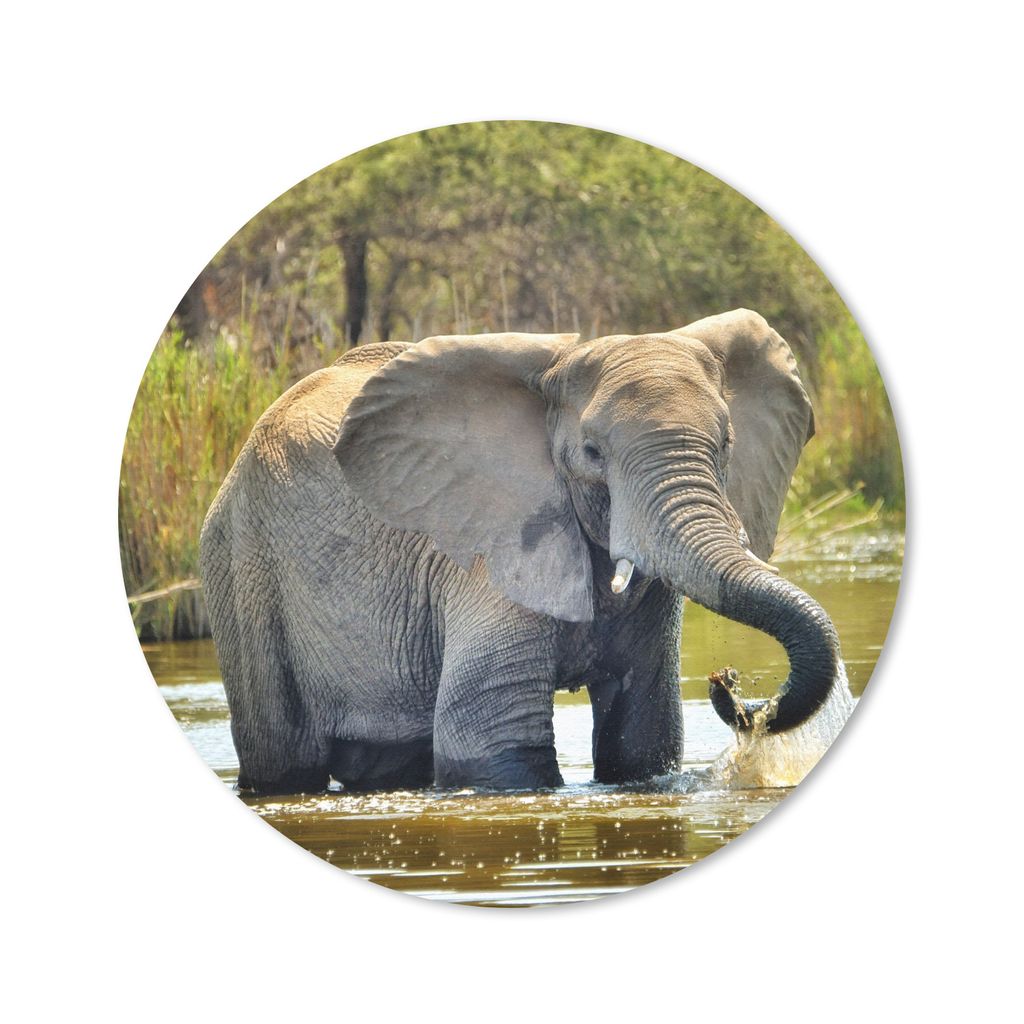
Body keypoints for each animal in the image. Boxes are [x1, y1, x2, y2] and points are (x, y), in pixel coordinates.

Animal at [199, 308, 840, 795]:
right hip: (242, 564)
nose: (727, 683)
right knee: (282, 759)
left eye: (726, 443)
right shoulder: (487, 547)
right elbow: (490, 740)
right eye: (591, 452)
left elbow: (642, 737)